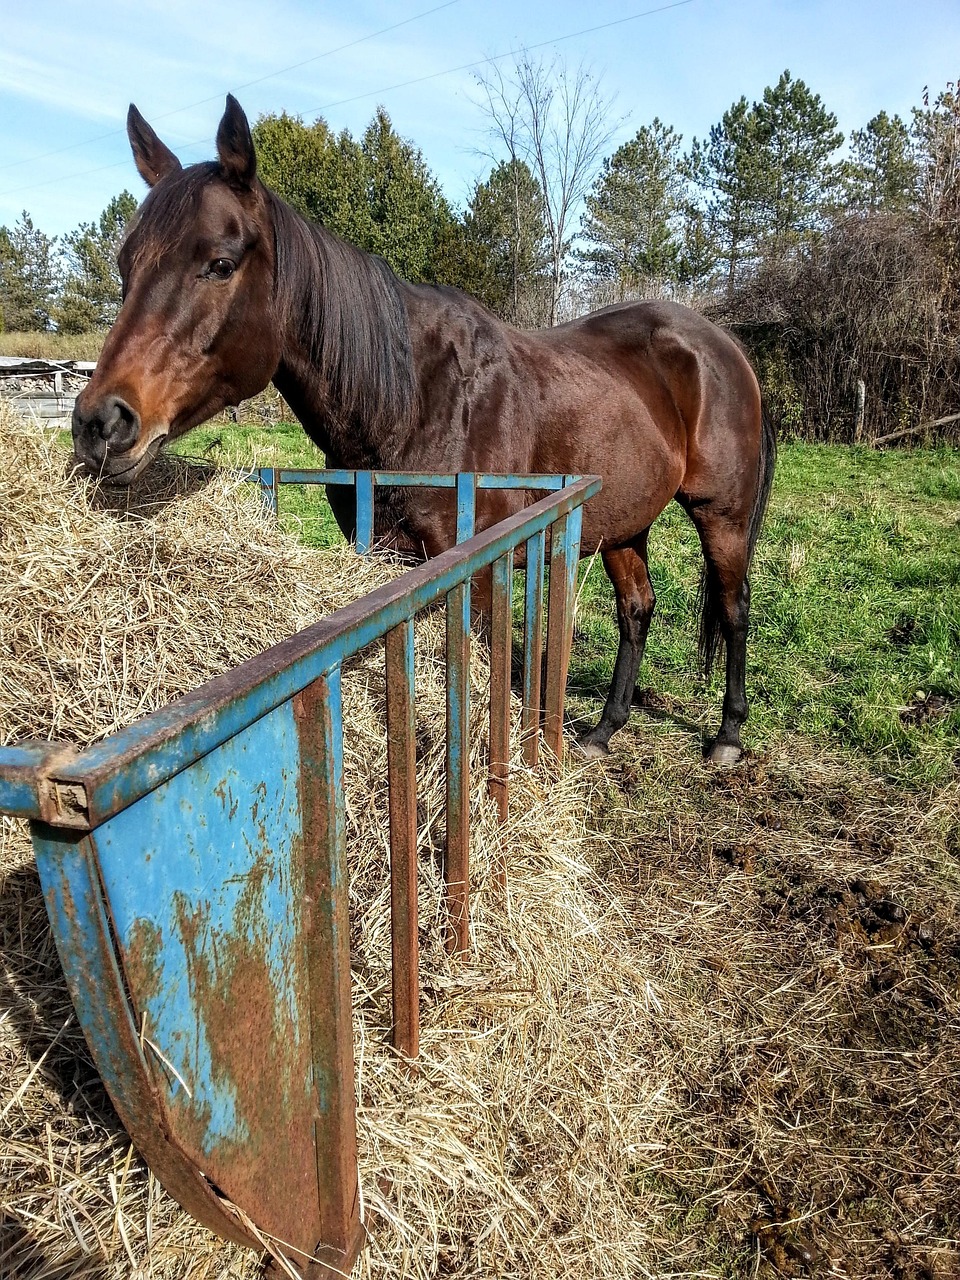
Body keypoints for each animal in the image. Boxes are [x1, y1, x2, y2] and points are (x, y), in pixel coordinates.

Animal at [72, 95, 776, 764]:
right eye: (125, 265)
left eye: (219, 263)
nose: (100, 423)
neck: (412, 403)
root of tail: (723, 346)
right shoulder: (390, 555)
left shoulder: (483, 568)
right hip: (625, 522)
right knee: (636, 610)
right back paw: (604, 731)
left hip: (721, 515)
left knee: (735, 607)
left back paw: (727, 736)